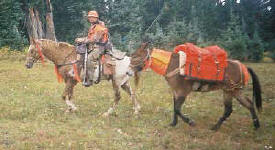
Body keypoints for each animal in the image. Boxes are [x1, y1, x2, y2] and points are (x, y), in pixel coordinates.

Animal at [131, 42, 264, 130]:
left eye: (135, 56)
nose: (129, 71)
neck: (172, 65)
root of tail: (243, 66)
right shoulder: (175, 92)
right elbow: (175, 108)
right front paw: (173, 124)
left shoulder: (183, 92)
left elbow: (177, 109)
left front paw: (190, 122)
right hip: (232, 91)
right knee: (246, 105)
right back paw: (256, 125)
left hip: (232, 91)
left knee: (230, 109)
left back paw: (216, 127)